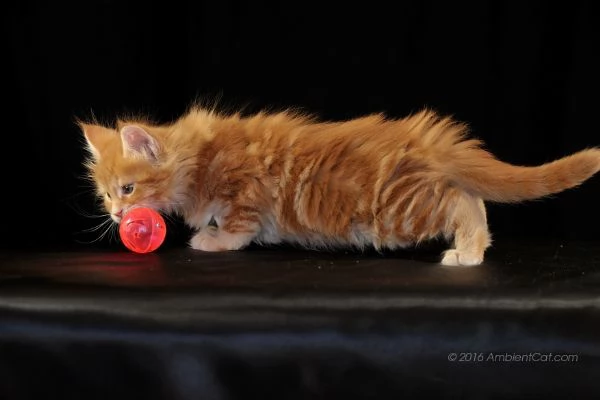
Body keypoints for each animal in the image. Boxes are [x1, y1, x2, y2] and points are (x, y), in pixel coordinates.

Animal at [79, 105, 600, 266]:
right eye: (105, 194)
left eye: (127, 190)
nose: (117, 215)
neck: (197, 157)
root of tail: (424, 142)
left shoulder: (245, 191)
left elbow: (238, 228)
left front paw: (212, 239)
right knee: (473, 199)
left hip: (399, 210)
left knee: (464, 204)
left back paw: (468, 253)